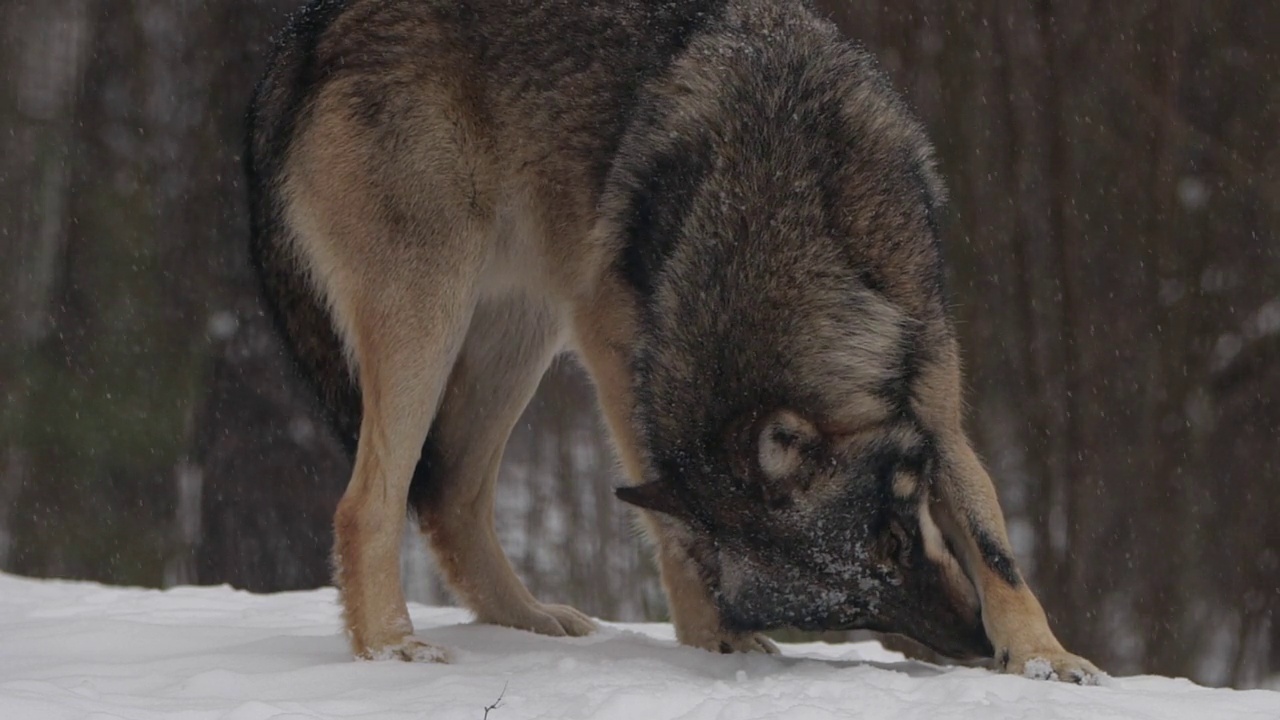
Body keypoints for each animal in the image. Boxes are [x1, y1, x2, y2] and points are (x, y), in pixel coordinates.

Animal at [247, 0, 1100, 676]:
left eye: (894, 545)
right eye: (852, 605)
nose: (968, 646)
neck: (780, 204)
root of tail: (302, 34)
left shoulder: (926, 380)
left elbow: (993, 546)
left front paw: (1045, 658)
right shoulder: (614, 332)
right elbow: (671, 522)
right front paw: (713, 640)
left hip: (514, 330)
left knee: (450, 493)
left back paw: (531, 623)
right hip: (432, 316)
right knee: (368, 503)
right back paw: (391, 647)